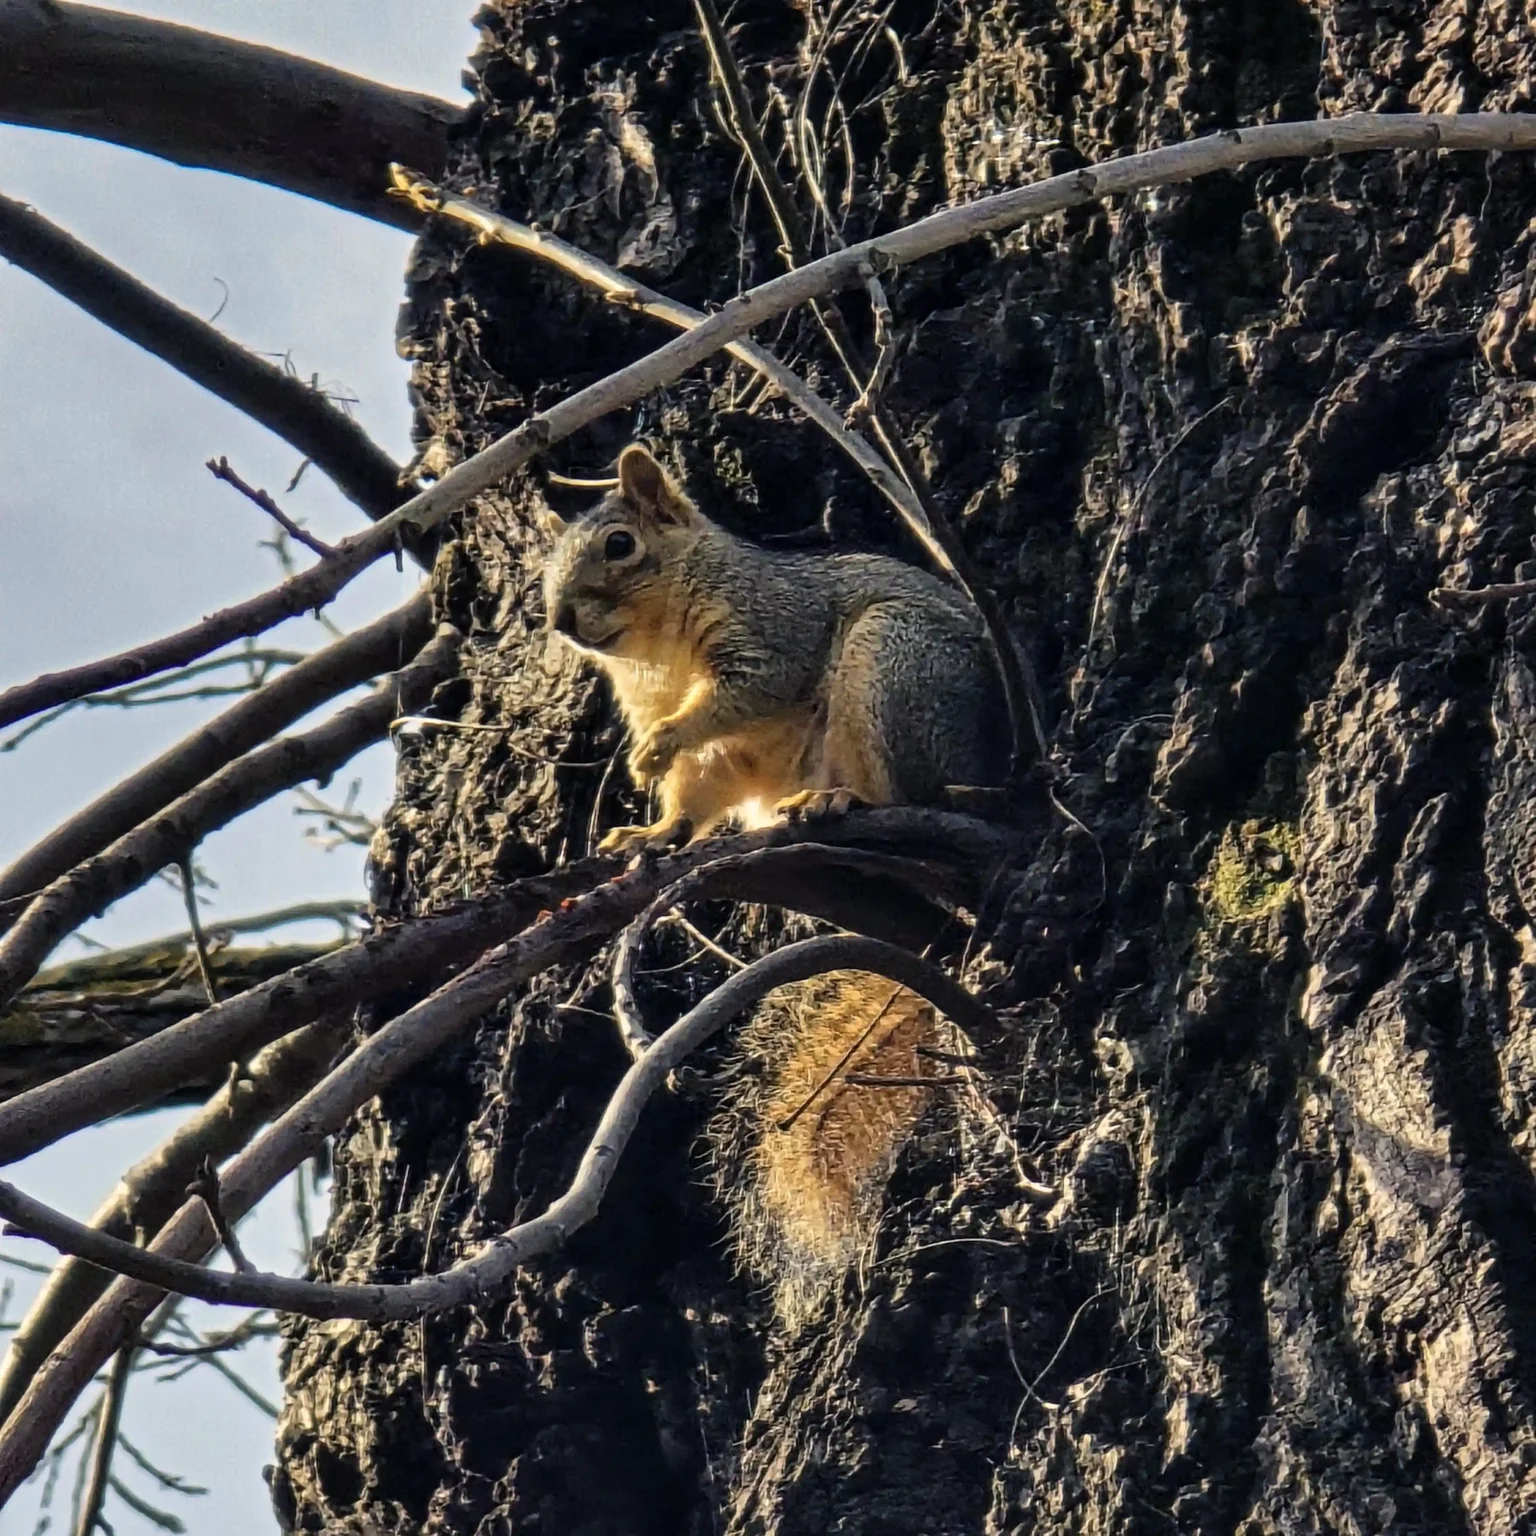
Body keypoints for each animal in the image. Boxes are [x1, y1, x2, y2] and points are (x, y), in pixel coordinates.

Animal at [542, 442, 1006, 1320]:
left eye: (618, 544)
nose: (559, 622)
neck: (658, 653)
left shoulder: (767, 632)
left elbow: (745, 694)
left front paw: (657, 747)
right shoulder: (708, 751)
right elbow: (694, 789)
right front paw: (653, 828)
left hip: (896, 666)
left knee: (912, 795)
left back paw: (839, 802)